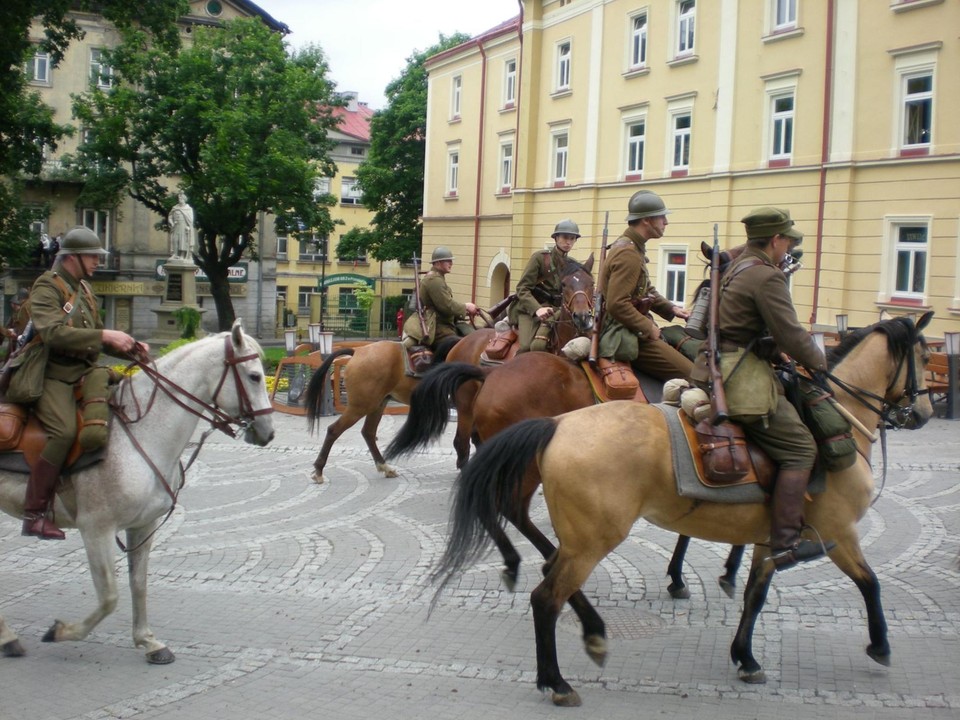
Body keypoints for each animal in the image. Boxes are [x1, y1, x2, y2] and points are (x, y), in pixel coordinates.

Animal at [0, 320, 274, 664]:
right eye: (254, 376)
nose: (268, 432)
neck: (141, 434)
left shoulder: (143, 525)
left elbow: (138, 583)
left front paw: (148, 641)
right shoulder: (96, 528)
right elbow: (109, 596)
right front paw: (61, 631)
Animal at [432, 314, 932, 704]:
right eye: (925, 358)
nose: (924, 412)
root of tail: (556, 426)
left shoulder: (770, 536)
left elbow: (755, 593)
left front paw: (744, 653)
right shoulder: (838, 532)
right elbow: (870, 583)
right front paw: (880, 644)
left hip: (565, 516)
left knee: (533, 544)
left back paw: (570, 612)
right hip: (588, 532)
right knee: (543, 590)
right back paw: (556, 679)